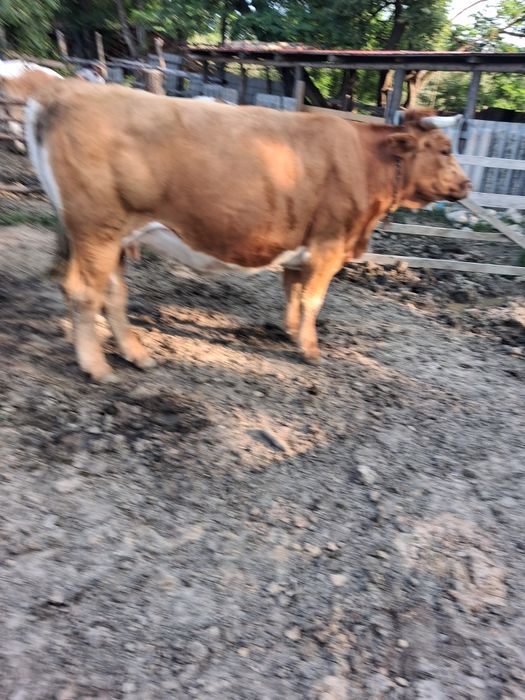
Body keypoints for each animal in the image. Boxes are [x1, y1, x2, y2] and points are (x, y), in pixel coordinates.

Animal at [25, 79, 469, 382]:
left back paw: (136, 354)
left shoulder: (302, 248)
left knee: (112, 293)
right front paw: (310, 349)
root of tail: (66, 93)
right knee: (85, 293)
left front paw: (291, 332)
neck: (365, 160)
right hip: (96, 229)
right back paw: (97, 366)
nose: (465, 185)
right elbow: (314, 300)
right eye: (445, 149)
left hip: (115, 234)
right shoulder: (329, 244)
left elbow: (293, 293)